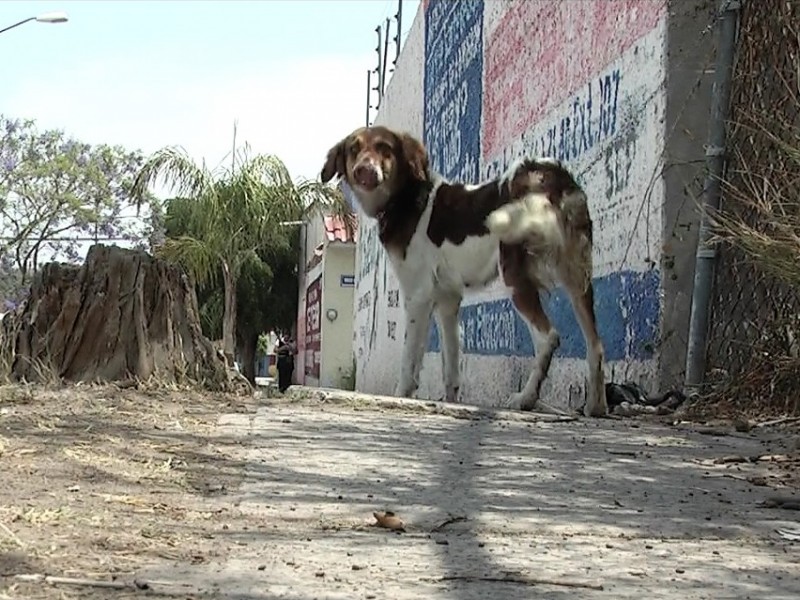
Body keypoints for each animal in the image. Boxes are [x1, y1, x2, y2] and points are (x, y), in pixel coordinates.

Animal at [318, 125, 608, 418]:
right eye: (354, 149)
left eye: (384, 148)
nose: (364, 171)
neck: (405, 197)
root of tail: (551, 175)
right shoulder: (447, 301)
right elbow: (451, 361)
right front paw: (450, 401)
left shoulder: (418, 296)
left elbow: (409, 358)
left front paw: (402, 394)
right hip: (578, 279)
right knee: (595, 344)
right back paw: (596, 405)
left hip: (515, 277)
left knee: (548, 338)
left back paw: (526, 398)